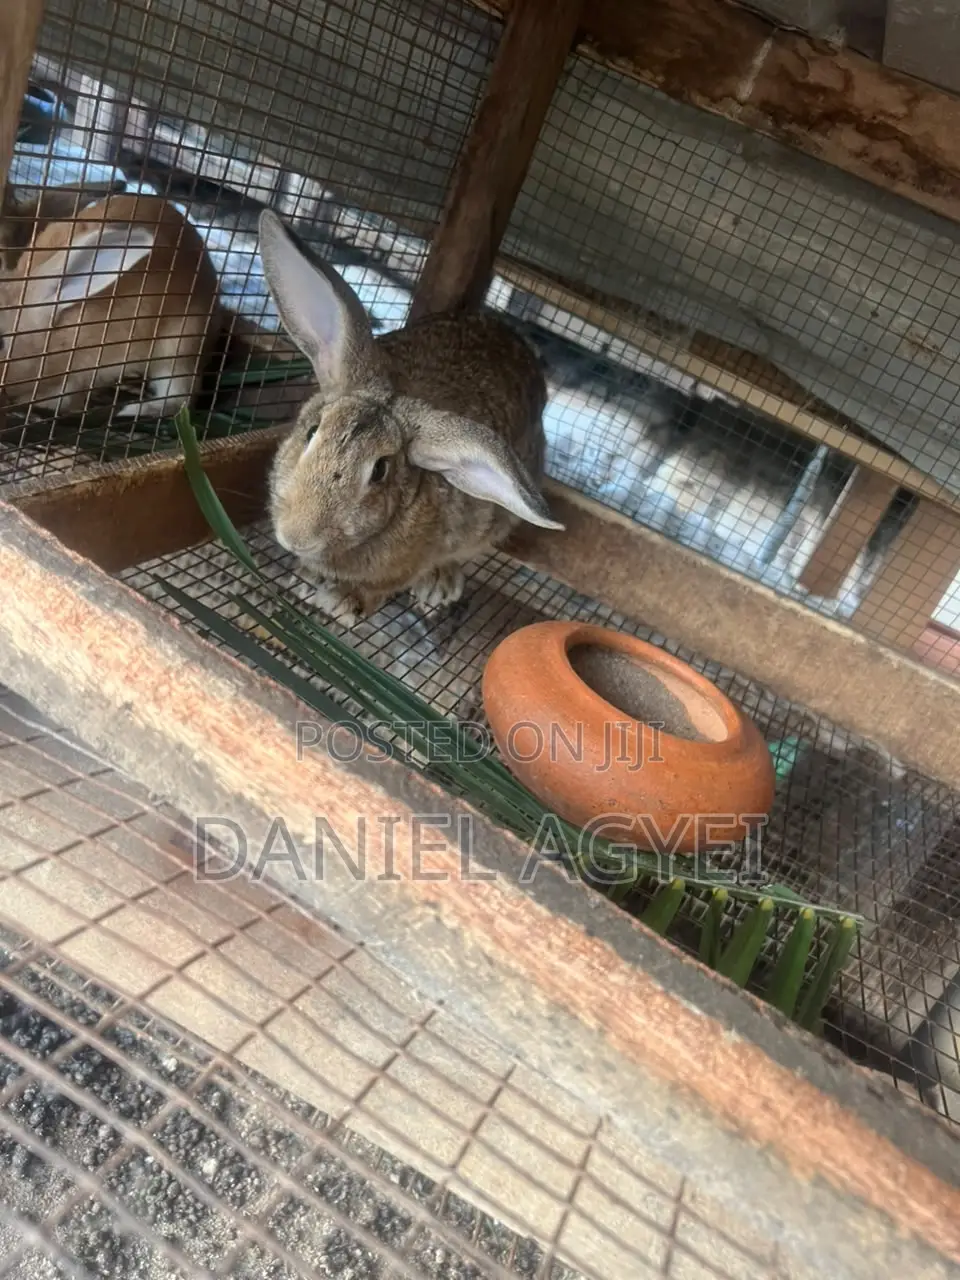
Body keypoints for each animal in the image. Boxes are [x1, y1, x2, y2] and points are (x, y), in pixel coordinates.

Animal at [257, 209, 564, 625]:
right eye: (311, 432)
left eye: (380, 470)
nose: (296, 536)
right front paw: (307, 580)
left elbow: (381, 588)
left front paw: (340, 601)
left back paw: (439, 586)